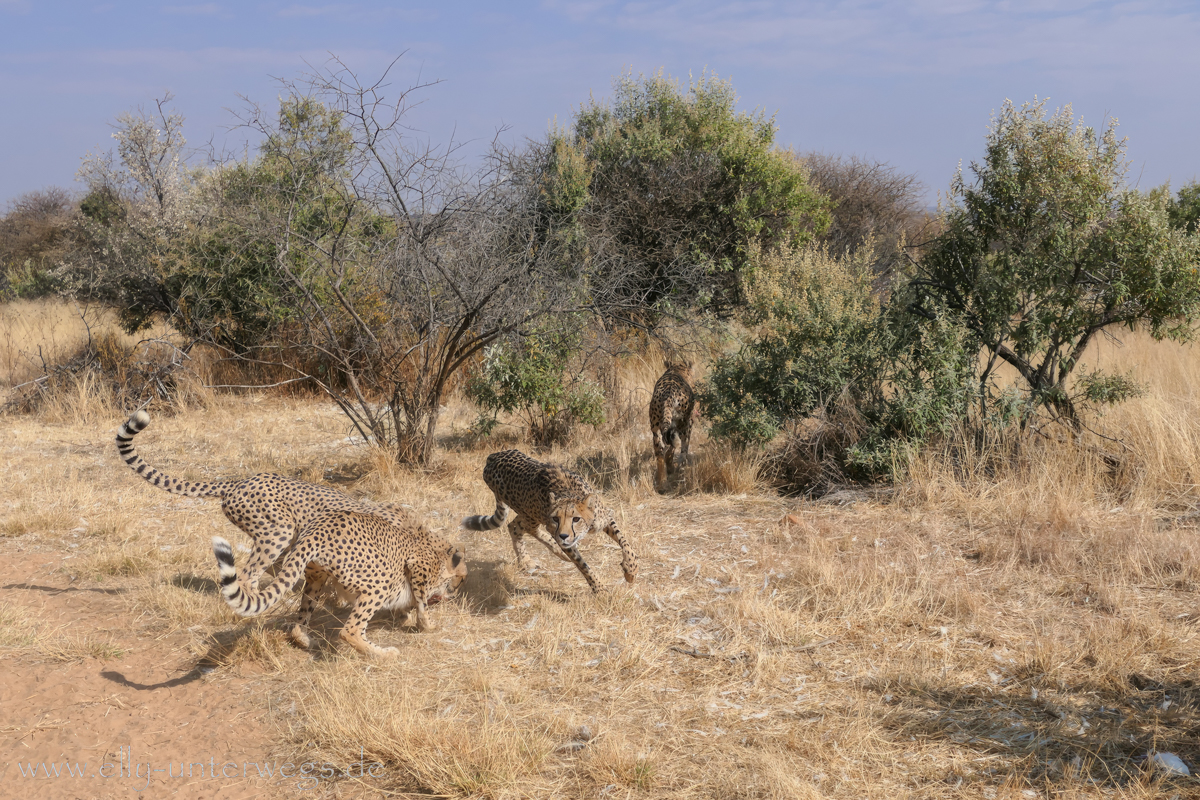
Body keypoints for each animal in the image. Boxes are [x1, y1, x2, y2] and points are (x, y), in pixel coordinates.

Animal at [211, 513, 463, 657]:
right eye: (454, 581)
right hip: (378, 582)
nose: (453, 592)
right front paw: (427, 625)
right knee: (350, 631)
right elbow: (421, 601)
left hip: (315, 579)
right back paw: (382, 654)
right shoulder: (417, 567)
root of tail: (316, 530)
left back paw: (304, 639)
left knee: (299, 622)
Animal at [463, 450, 643, 594]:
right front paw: (599, 589)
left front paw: (631, 570)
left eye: (576, 519)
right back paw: (551, 551)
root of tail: (493, 456)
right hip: (531, 514)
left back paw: (528, 559)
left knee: (514, 526)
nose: (563, 536)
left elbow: (625, 542)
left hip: (528, 513)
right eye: (556, 518)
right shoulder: (563, 536)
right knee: (526, 528)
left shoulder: (604, 518)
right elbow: (582, 565)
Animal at [652, 357, 700, 494]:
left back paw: (661, 484)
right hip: (685, 426)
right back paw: (681, 479)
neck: (677, 368)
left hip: (655, 428)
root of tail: (668, 396)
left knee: (660, 453)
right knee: (683, 452)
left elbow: (670, 447)